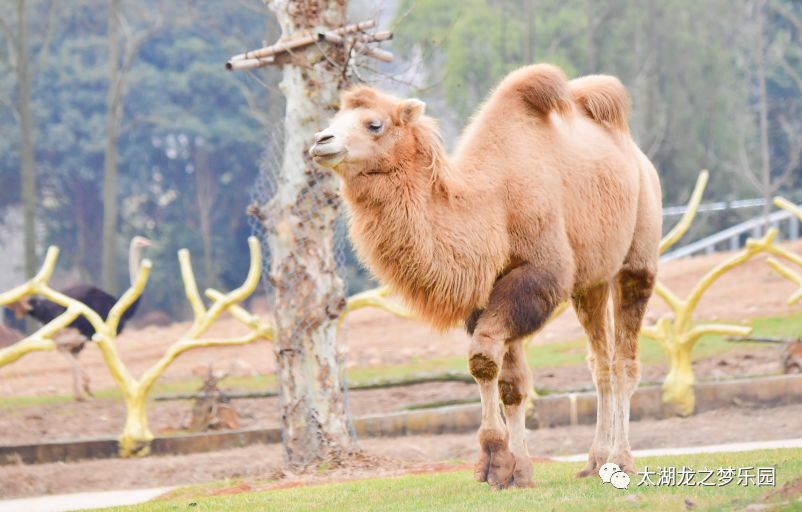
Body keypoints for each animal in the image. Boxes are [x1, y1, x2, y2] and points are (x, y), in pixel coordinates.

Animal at [310, 64, 660, 488]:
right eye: (335, 118)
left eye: (374, 124)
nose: (321, 141)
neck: (492, 204)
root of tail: (638, 156)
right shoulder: (489, 290)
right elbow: (511, 382)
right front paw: (518, 470)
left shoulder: (537, 275)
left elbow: (482, 358)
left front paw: (494, 461)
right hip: (591, 282)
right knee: (601, 363)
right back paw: (596, 462)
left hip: (639, 257)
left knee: (625, 362)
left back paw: (622, 460)